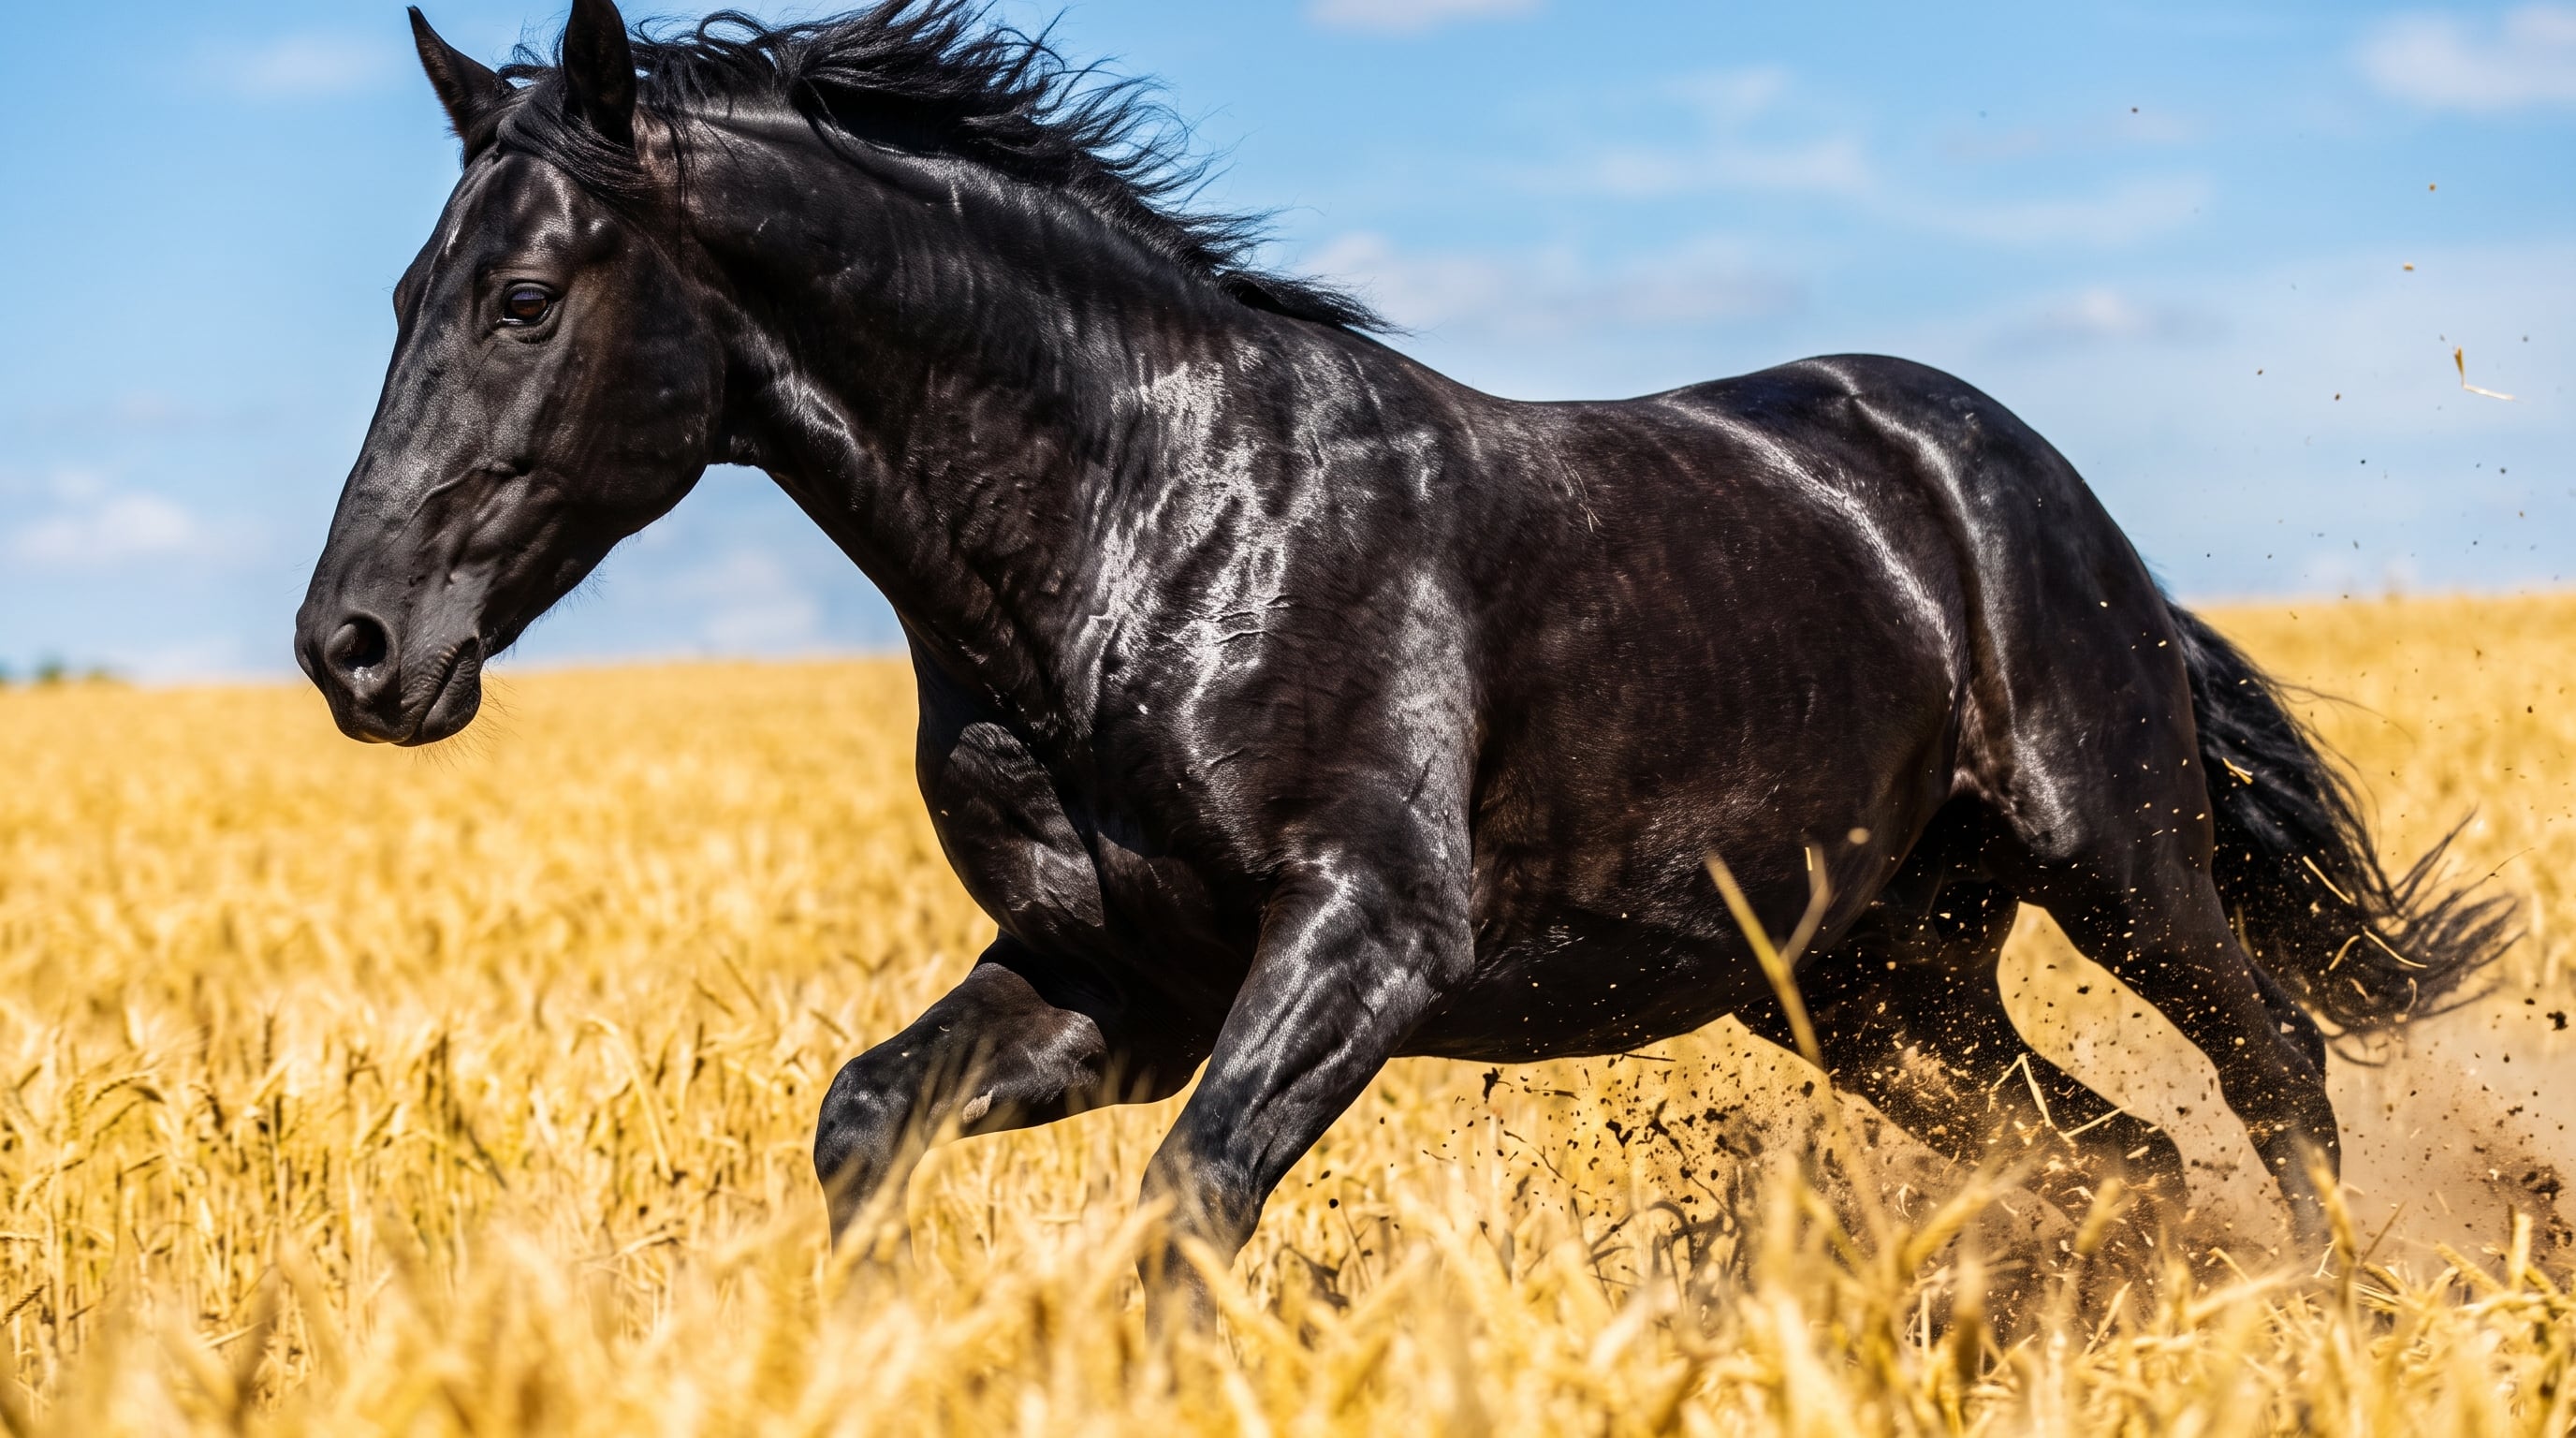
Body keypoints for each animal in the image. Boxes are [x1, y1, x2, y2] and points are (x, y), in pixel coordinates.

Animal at [297, 0, 2511, 1310]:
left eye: (518, 298)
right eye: (399, 289)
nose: (355, 650)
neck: (1131, 536)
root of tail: (2005, 472)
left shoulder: (1363, 940)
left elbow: (1184, 1213)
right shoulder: (1120, 979)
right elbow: (867, 1122)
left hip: (2108, 858)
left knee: (2274, 1066)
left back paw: (2333, 1318)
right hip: (1869, 988)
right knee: (2113, 1151)